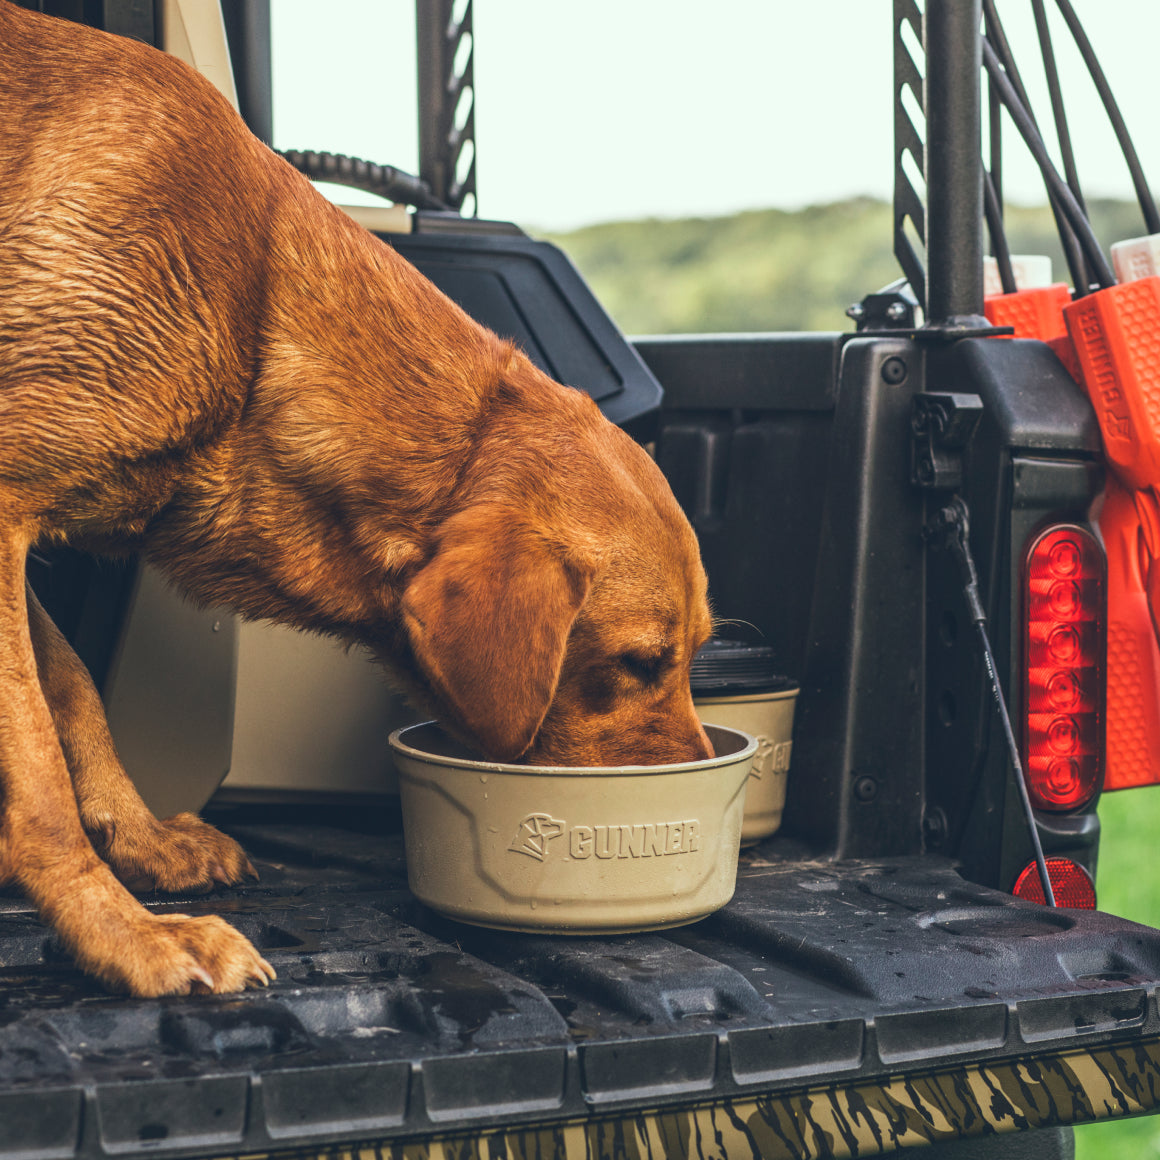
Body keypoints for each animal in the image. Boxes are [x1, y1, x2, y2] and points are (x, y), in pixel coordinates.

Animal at [0, 2, 714, 997]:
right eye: (643, 662)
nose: (706, 797)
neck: (254, 316)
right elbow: (37, 774)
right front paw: (123, 931)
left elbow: (69, 690)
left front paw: (139, 840)